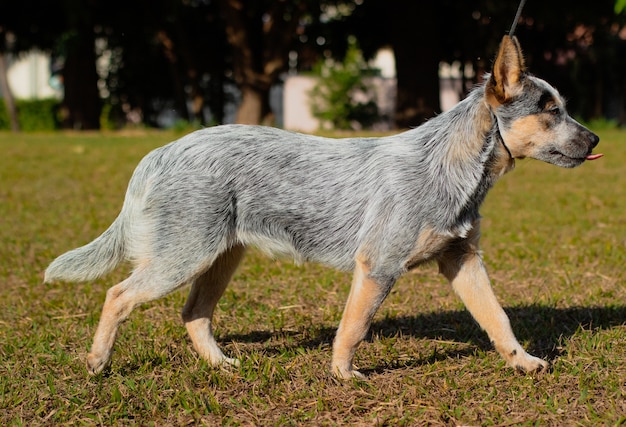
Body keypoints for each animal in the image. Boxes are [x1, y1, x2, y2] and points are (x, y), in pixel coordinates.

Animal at [44, 35, 600, 380]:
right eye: (551, 110)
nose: (596, 139)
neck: (450, 168)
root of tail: (160, 152)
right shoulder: (378, 267)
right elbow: (353, 327)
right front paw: (343, 374)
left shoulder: (462, 260)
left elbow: (498, 319)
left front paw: (523, 362)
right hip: (181, 257)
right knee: (117, 295)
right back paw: (97, 363)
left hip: (219, 259)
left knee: (193, 314)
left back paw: (221, 365)